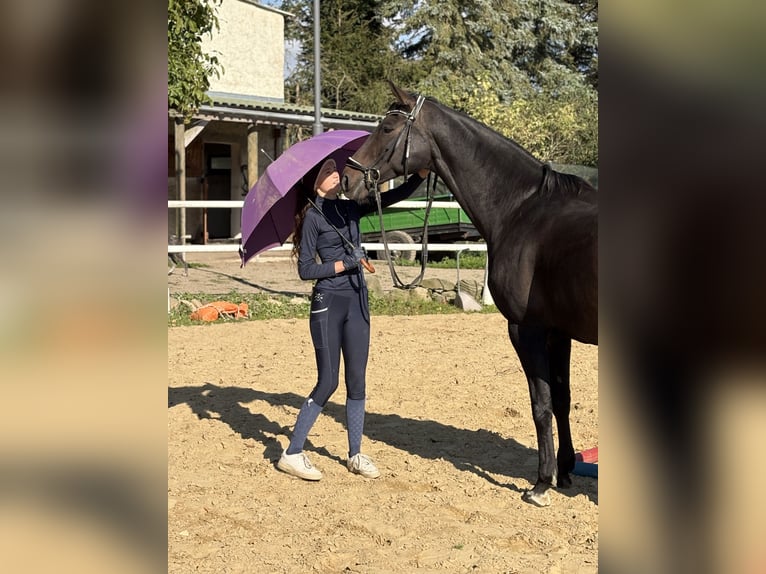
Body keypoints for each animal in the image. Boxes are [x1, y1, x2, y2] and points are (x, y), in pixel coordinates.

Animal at [342, 82, 597, 507]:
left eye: (386, 127)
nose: (346, 178)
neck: (520, 209)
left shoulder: (526, 329)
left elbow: (541, 405)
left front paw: (541, 484)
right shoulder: (557, 332)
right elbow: (561, 400)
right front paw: (563, 472)